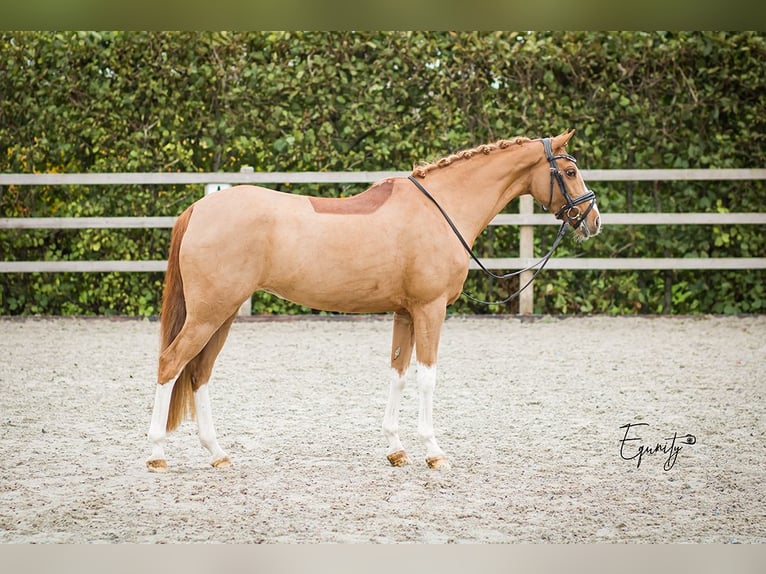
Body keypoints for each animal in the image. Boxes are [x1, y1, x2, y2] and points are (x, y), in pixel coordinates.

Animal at [146, 129, 601, 472]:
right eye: (571, 171)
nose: (593, 221)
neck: (440, 209)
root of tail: (200, 208)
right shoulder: (431, 309)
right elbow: (427, 376)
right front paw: (433, 451)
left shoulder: (405, 313)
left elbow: (397, 374)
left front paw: (396, 448)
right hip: (210, 314)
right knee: (171, 364)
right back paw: (156, 454)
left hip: (221, 316)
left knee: (199, 373)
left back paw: (218, 454)